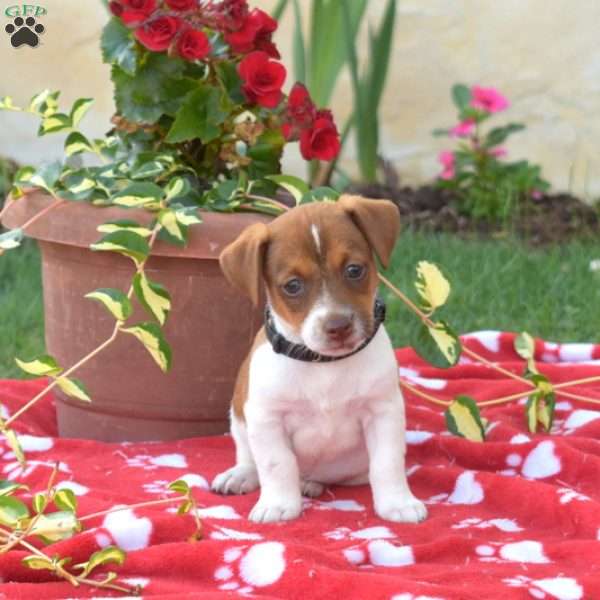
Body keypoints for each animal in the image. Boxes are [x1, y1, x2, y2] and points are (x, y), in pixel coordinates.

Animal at [211, 197, 426, 524]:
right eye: (292, 285)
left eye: (354, 269)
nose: (338, 326)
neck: (324, 364)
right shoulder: (267, 418)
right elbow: (277, 463)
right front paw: (277, 504)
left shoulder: (383, 411)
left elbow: (387, 462)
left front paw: (397, 503)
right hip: (238, 417)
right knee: (248, 456)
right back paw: (241, 475)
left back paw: (310, 483)